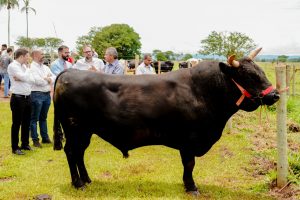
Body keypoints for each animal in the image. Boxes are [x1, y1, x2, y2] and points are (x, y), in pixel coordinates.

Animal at [52, 55, 280, 195]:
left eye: (261, 71)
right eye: (249, 75)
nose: (276, 95)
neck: (204, 92)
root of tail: (69, 73)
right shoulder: (189, 140)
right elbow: (189, 164)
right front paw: (191, 187)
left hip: (85, 132)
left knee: (79, 153)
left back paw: (87, 179)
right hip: (75, 129)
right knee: (71, 152)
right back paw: (78, 183)